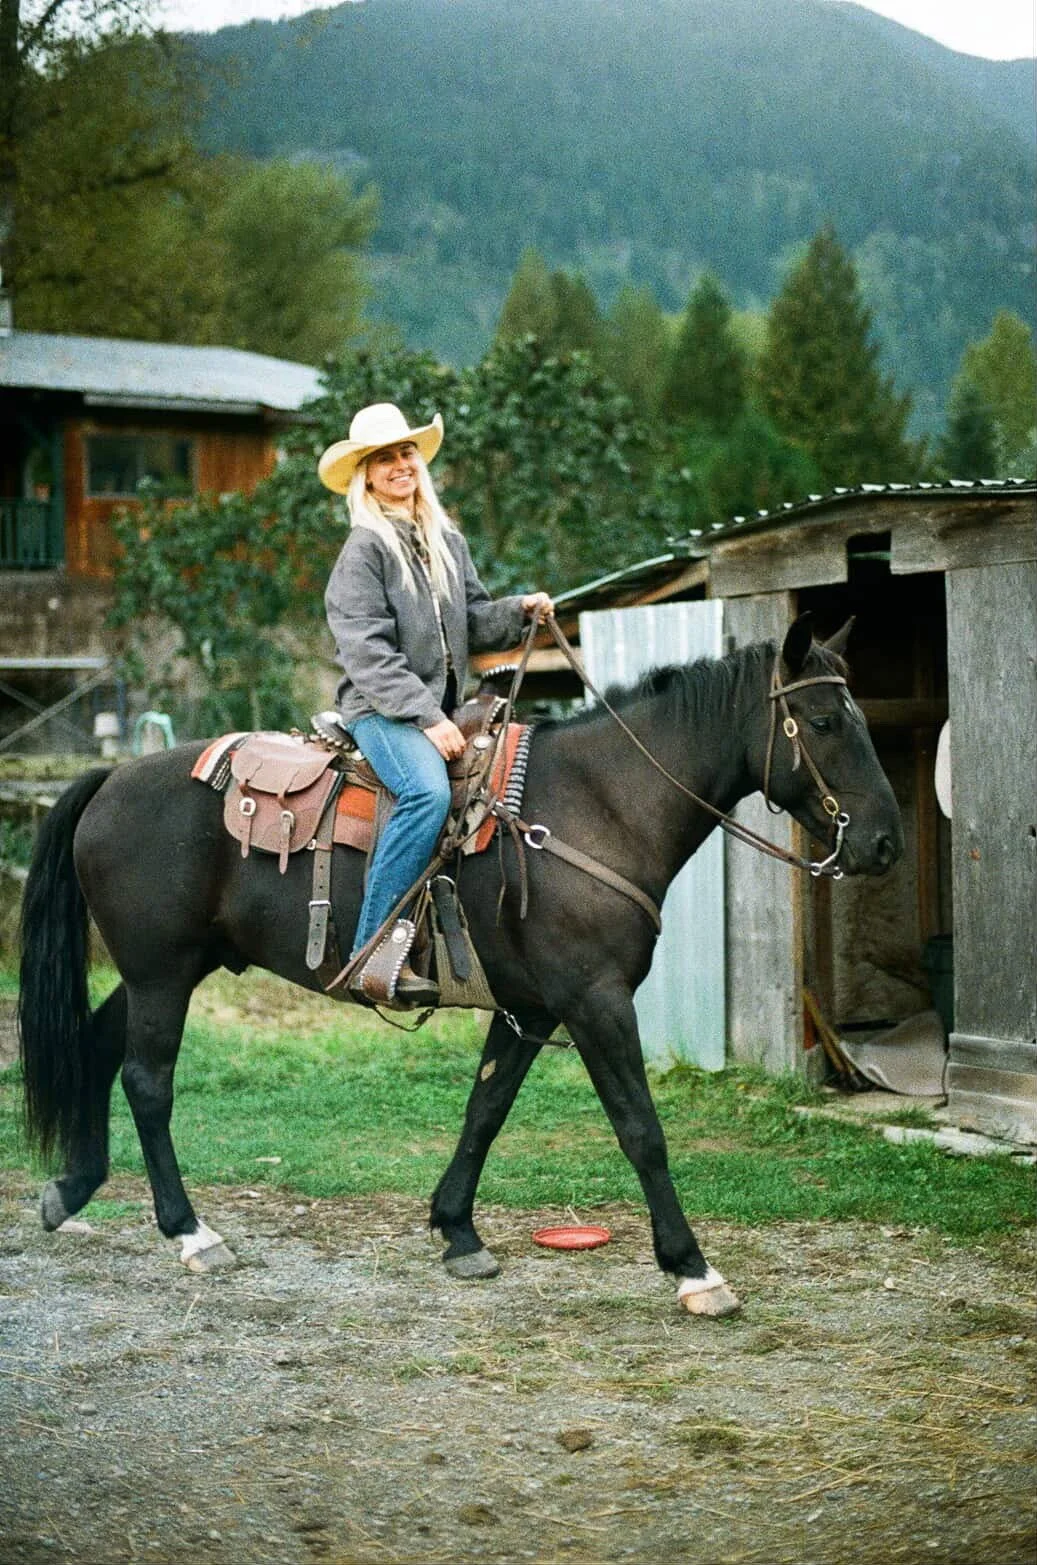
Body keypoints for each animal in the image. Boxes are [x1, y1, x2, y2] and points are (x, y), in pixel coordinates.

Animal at [18, 614, 902, 1317]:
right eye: (824, 719)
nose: (883, 843)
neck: (598, 804)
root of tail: (111, 777)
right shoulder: (595, 1001)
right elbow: (640, 1128)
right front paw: (692, 1268)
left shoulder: (533, 1006)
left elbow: (485, 1110)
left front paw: (456, 1228)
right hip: (161, 973)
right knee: (148, 1082)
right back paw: (190, 1231)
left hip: (168, 969)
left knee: (98, 1047)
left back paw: (72, 1188)